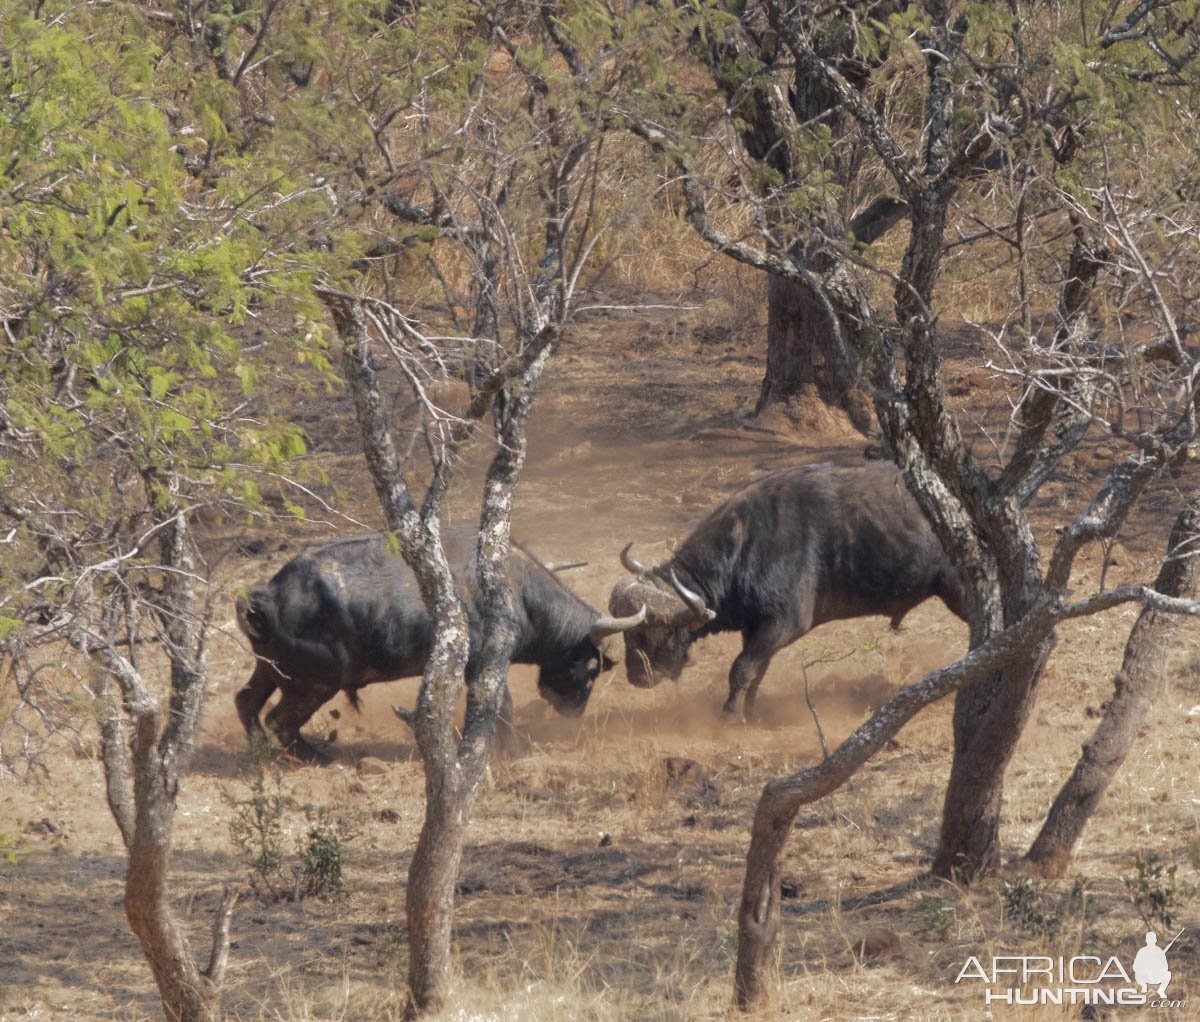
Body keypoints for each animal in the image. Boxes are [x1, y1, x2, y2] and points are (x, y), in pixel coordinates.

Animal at [235, 527, 648, 758]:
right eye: (592, 666)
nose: (573, 711)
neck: (515, 589)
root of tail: (268, 595)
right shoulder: (483, 663)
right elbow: (501, 706)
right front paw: (515, 751)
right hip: (313, 684)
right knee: (279, 721)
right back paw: (316, 757)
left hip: (270, 672)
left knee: (246, 702)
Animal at [609, 463, 964, 719]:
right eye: (628, 634)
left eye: (654, 632)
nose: (637, 677)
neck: (747, 543)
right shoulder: (757, 629)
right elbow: (757, 672)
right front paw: (751, 714)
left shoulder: (785, 623)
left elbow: (741, 669)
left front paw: (729, 715)